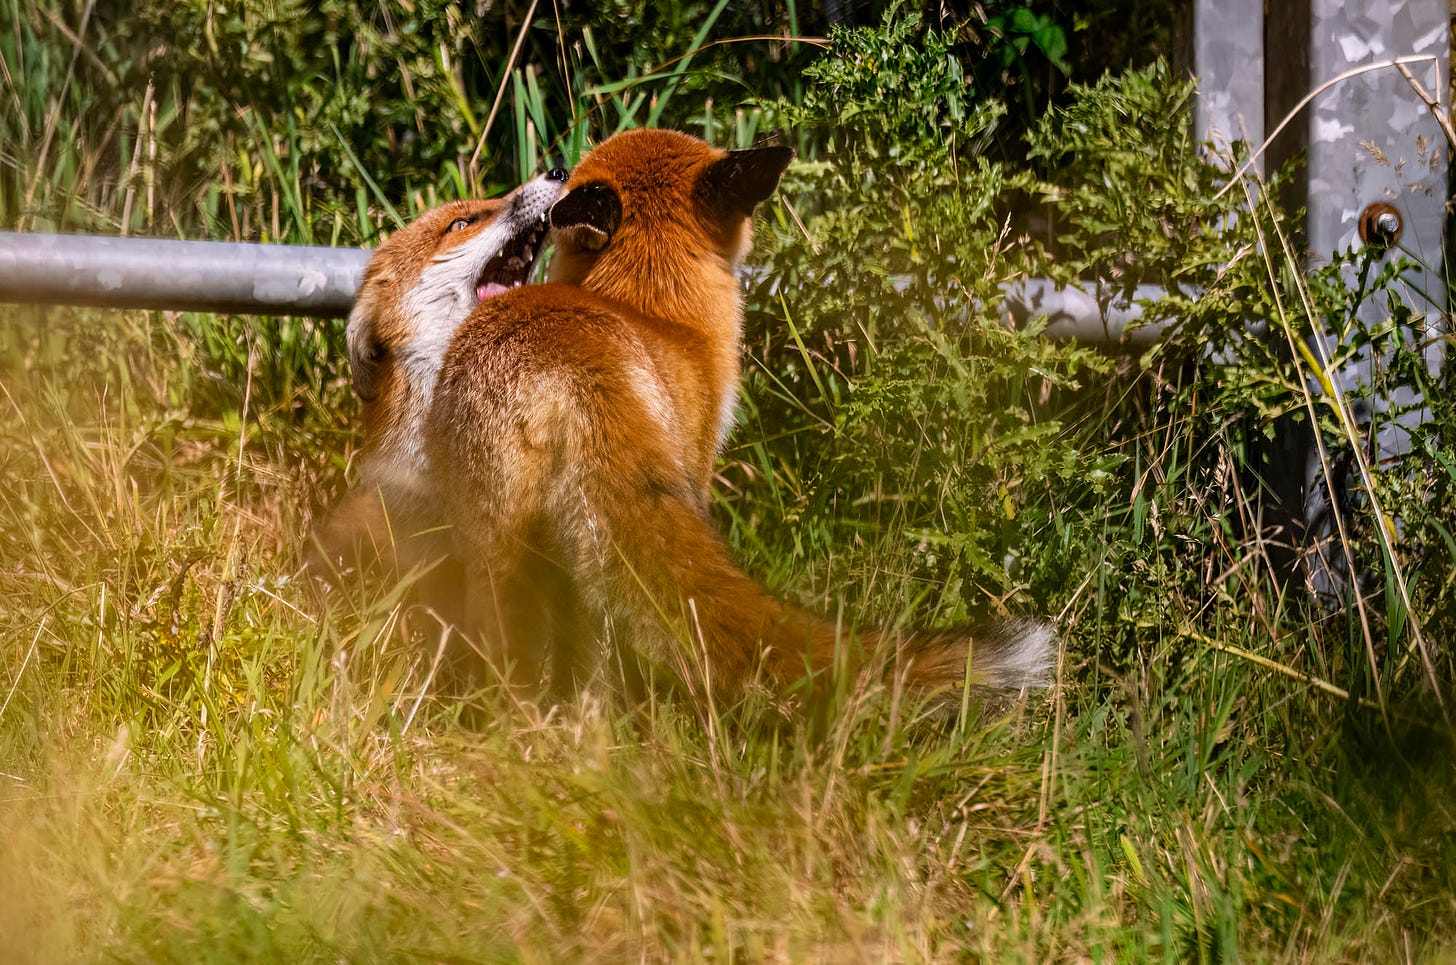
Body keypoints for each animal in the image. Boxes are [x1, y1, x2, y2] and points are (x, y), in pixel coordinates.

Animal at [326, 128, 1054, 701]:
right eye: (460, 222)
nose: (554, 168)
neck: (649, 306)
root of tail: (568, 368)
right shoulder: (697, 462)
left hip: (507, 552)